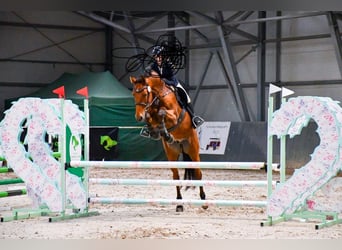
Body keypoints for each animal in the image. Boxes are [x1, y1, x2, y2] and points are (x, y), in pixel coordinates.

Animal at [130, 75, 207, 212]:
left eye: (144, 94)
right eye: (133, 94)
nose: (138, 117)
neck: (158, 98)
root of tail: (181, 145)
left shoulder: (175, 116)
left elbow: (163, 113)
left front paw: (164, 131)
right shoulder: (152, 114)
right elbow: (151, 116)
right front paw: (156, 132)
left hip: (193, 152)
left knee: (198, 174)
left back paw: (204, 202)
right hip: (172, 155)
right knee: (176, 177)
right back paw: (179, 204)